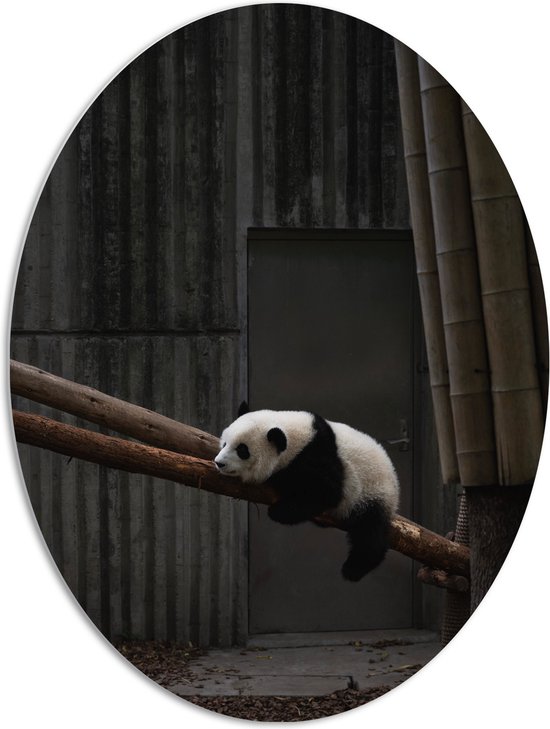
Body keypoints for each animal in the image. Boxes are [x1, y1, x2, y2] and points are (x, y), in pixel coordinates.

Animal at [214, 402, 399, 582]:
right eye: (225, 443)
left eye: (242, 450)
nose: (219, 463)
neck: (298, 439)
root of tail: (394, 480)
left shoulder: (317, 457)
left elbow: (327, 493)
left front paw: (279, 508)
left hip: (373, 492)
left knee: (369, 531)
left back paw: (354, 568)